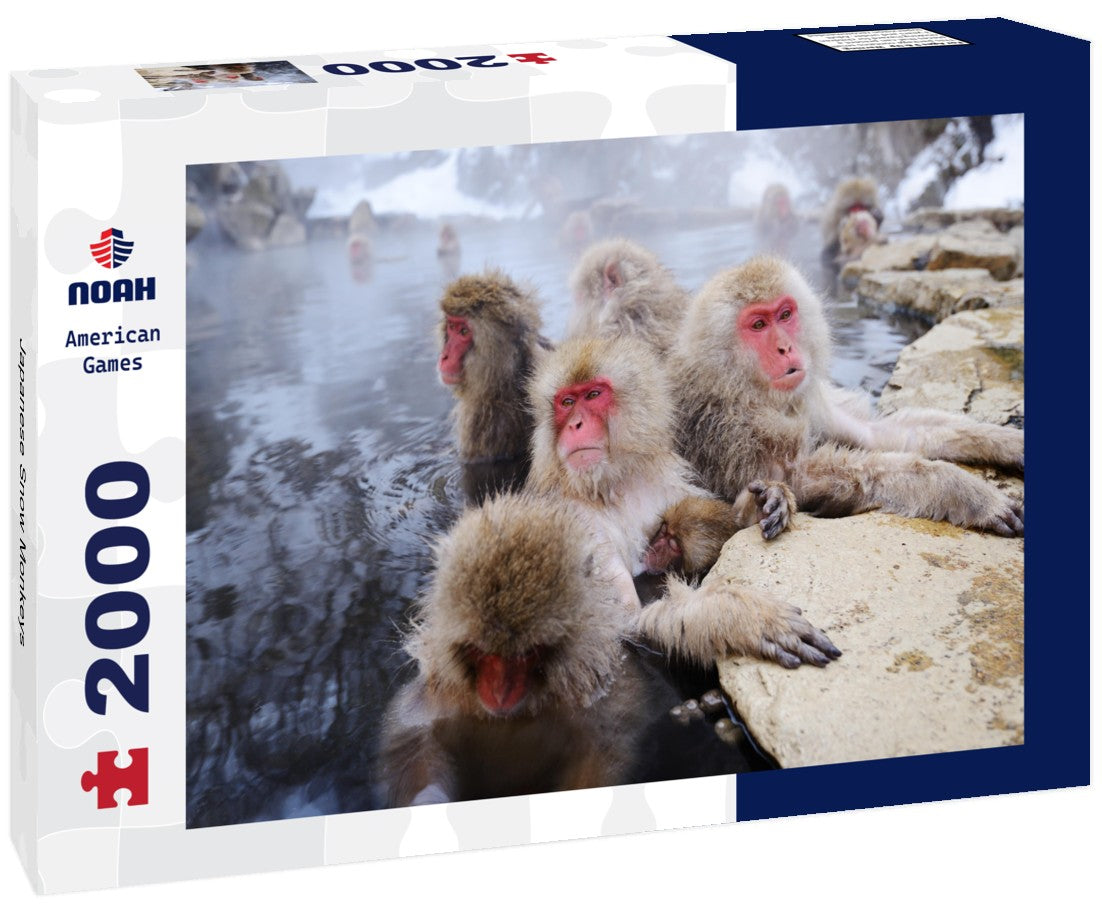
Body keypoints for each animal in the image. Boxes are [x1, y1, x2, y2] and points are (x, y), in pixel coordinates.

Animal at [526, 335, 840, 668]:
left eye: (593, 395)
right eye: (566, 403)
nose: (575, 424)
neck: (613, 484)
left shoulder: (667, 482)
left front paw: (766, 501)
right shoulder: (576, 520)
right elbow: (624, 623)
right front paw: (739, 617)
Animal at [670, 255, 1024, 537]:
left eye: (784, 315)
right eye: (758, 324)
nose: (785, 348)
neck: (741, 385)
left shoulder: (809, 401)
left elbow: (878, 433)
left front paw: (1009, 442)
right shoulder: (729, 427)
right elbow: (801, 476)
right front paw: (966, 492)